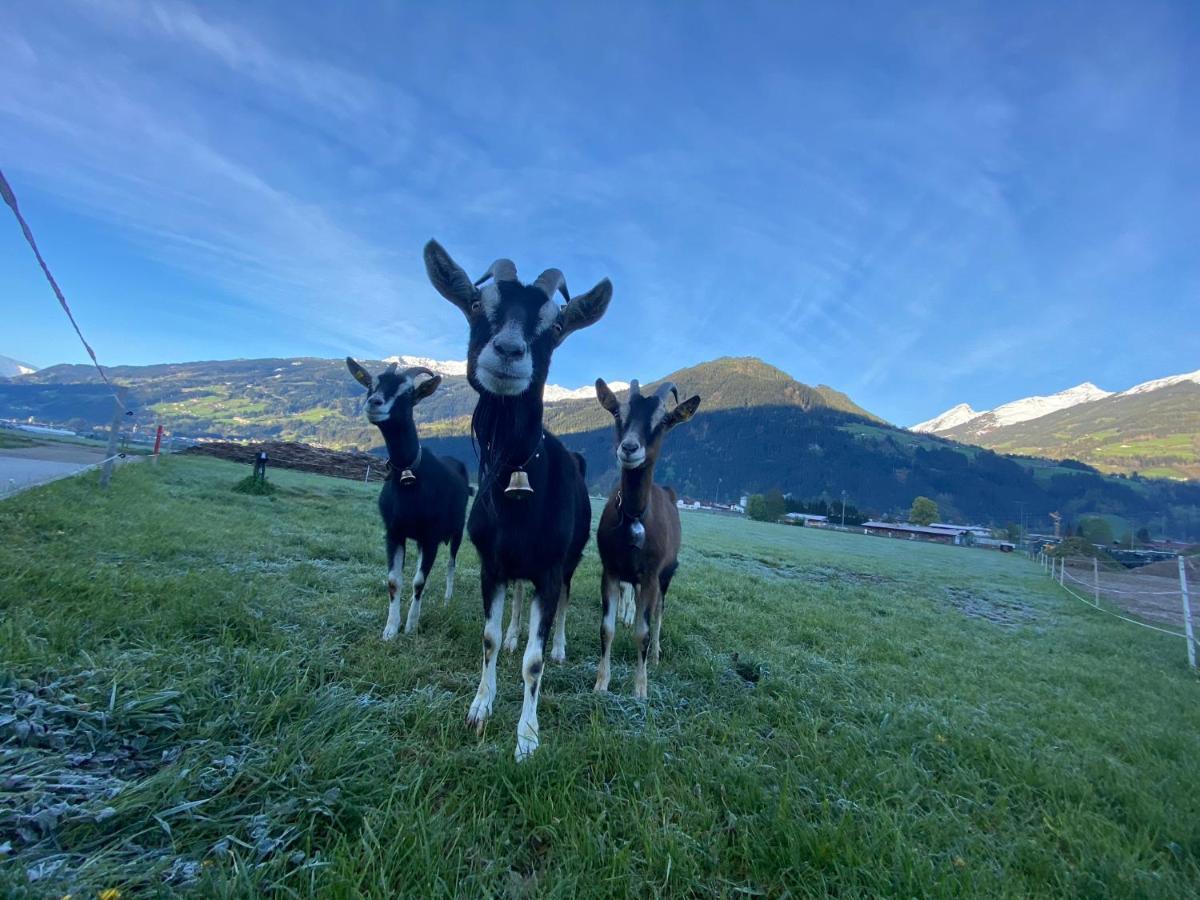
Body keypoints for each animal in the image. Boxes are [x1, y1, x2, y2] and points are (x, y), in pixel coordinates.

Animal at [345, 360, 470, 643]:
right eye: (371, 384)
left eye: (408, 393)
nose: (374, 403)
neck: (409, 474)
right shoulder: (394, 532)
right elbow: (395, 580)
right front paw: (391, 628)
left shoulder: (431, 536)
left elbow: (419, 581)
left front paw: (411, 626)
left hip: (457, 531)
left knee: (451, 564)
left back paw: (447, 599)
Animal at [424, 240, 614, 763]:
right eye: (476, 304)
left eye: (556, 326)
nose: (509, 351)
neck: (516, 477)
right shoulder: (491, 564)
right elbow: (488, 637)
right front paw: (479, 707)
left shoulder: (548, 568)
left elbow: (533, 661)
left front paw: (527, 737)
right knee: (515, 603)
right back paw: (513, 634)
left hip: (568, 562)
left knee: (563, 602)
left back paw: (560, 647)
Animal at [592, 376, 700, 700]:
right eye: (618, 413)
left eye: (663, 421)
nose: (629, 448)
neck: (635, 517)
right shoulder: (611, 570)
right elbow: (607, 628)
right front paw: (601, 684)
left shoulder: (652, 575)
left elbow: (643, 631)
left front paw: (640, 689)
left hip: (666, 575)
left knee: (659, 613)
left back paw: (654, 655)